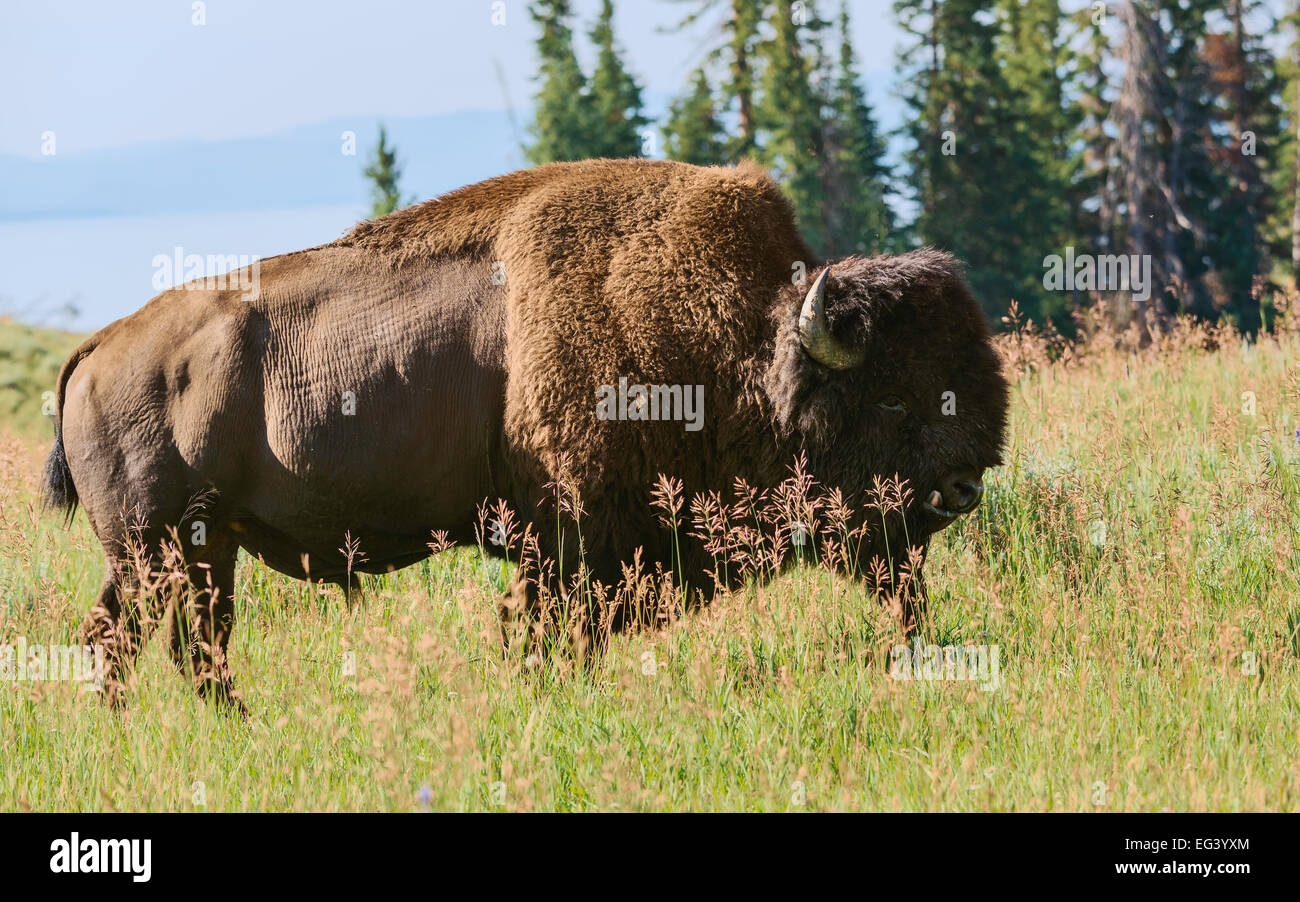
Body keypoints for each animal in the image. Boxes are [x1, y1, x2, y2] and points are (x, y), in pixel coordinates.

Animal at [43, 159, 1003, 712]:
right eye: (890, 398)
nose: (964, 487)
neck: (740, 347)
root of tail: (98, 347)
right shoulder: (570, 538)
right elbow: (541, 631)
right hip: (167, 548)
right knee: (179, 640)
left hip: (181, 549)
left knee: (132, 638)